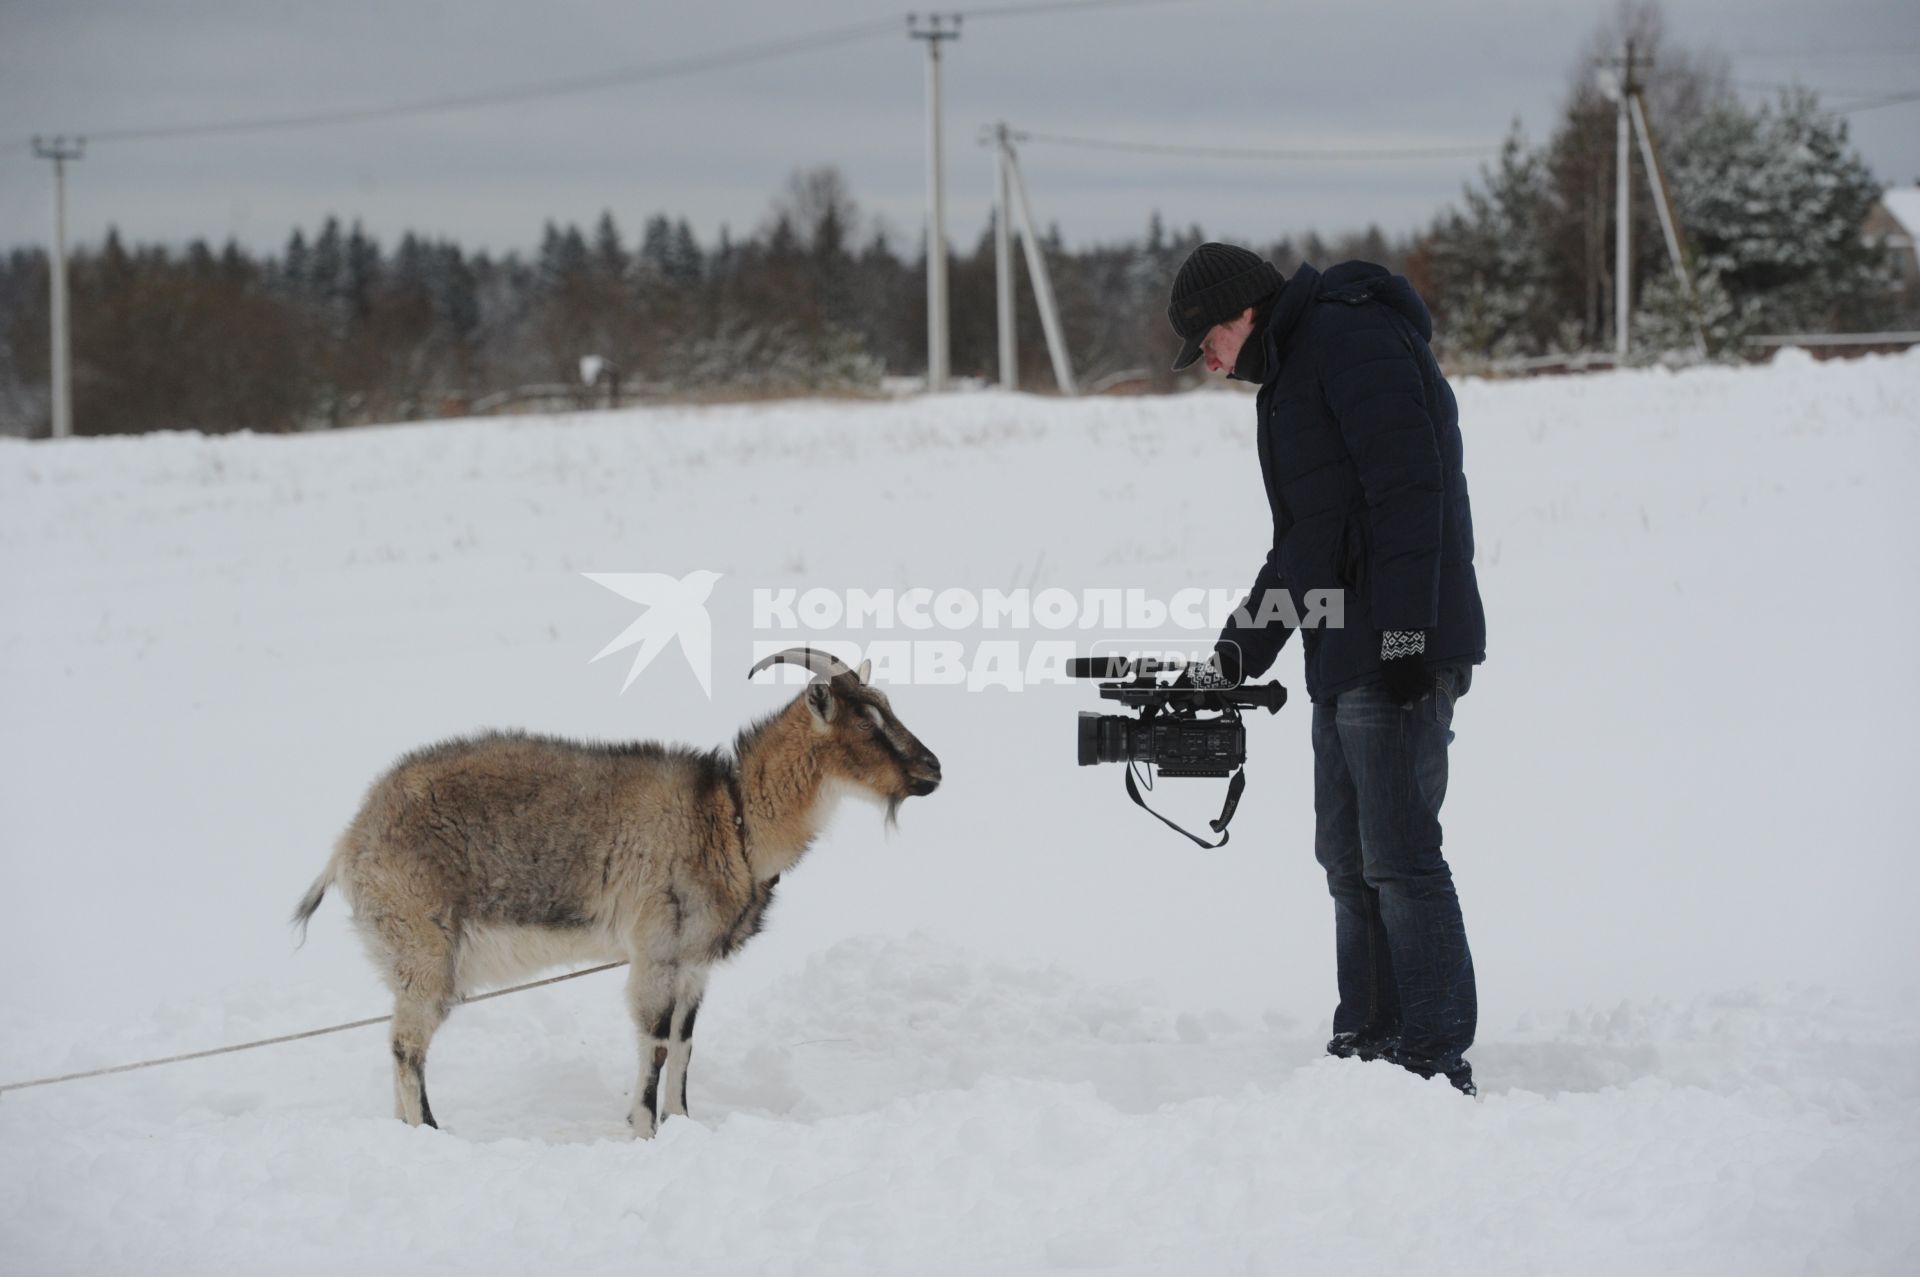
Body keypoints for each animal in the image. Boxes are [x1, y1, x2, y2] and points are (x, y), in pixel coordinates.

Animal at [288, 649, 940, 1136]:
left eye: (888, 707)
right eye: (868, 723)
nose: (933, 770)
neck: (730, 817)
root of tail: (349, 843)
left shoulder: (692, 962)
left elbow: (684, 1043)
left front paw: (683, 1123)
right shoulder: (655, 950)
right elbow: (654, 1043)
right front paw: (644, 1128)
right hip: (423, 947)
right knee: (406, 1047)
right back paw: (430, 1130)